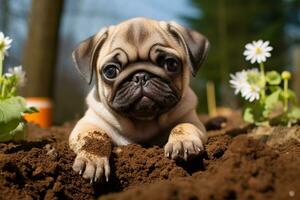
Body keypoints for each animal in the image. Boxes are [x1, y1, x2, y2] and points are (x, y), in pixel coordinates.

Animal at [68, 17, 209, 183]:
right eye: (110, 71)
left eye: (171, 64)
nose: (140, 76)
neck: (142, 123)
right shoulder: (89, 124)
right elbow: (94, 138)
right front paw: (93, 159)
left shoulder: (190, 119)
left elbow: (183, 125)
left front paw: (182, 143)